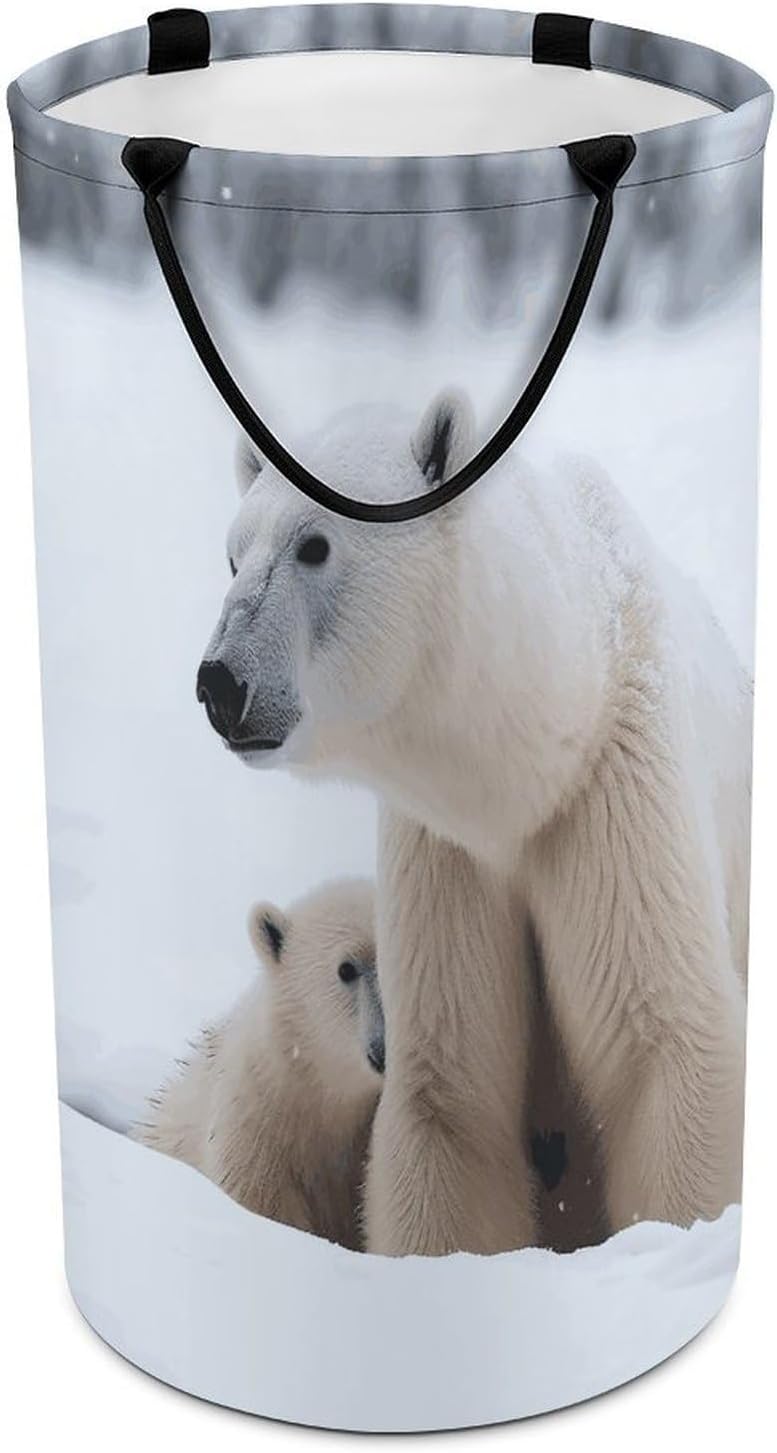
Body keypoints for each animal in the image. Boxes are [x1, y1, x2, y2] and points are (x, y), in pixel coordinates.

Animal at [195, 393, 750, 1256]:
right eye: (231, 555)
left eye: (313, 545)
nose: (220, 684)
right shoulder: (446, 849)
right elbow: (452, 1088)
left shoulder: (617, 788)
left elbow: (661, 1042)